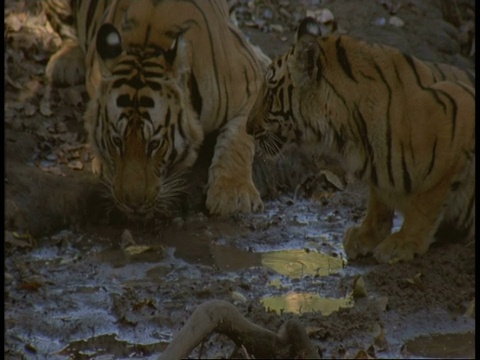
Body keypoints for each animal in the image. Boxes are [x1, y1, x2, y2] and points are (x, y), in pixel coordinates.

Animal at [45, 0, 270, 217]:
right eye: (117, 141)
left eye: (154, 144)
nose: (132, 204)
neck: (147, 45)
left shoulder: (251, 87)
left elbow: (238, 140)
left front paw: (233, 196)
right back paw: (64, 64)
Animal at [249, 16, 474, 262]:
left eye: (270, 93)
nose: (247, 128)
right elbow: (378, 199)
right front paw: (366, 235)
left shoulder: (459, 118)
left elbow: (426, 201)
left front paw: (404, 242)